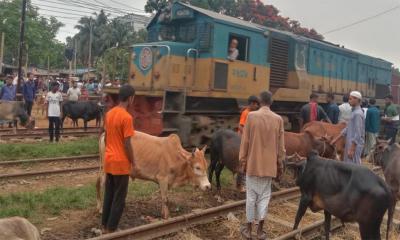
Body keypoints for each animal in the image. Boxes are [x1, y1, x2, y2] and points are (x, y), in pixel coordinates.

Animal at [208, 129, 336, 191]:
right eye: (332, 146)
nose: (336, 156)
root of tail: (214, 134)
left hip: (222, 160)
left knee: (217, 171)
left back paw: (218, 187)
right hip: (214, 156)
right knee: (211, 169)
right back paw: (210, 185)